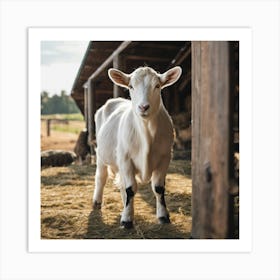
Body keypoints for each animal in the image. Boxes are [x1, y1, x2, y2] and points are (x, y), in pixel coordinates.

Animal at [93, 65, 183, 228]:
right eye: (131, 86)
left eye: (157, 86)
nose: (143, 107)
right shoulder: (126, 159)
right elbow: (130, 188)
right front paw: (127, 219)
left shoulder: (165, 158)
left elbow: (158, 188)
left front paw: (163, 216)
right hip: (102, 156)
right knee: (101, 177)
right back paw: (97, 202)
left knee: (122, 184)